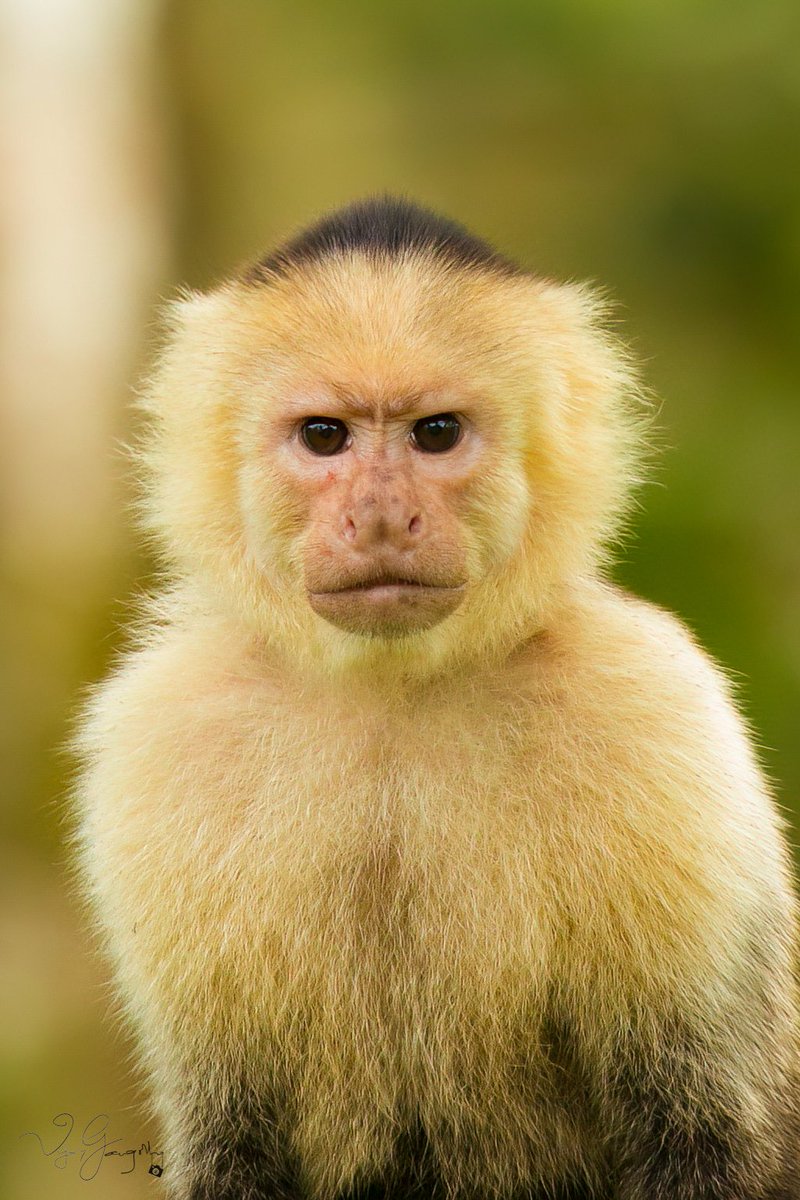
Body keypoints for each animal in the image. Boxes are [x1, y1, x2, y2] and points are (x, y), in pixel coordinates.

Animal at [72, 196, 800, 1200]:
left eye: (436, 433)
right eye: (325, 436)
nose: (381, 516)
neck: (393, 691)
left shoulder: (655, 706)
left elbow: (707, 1129)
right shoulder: (161, 733)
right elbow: (227, 1138)